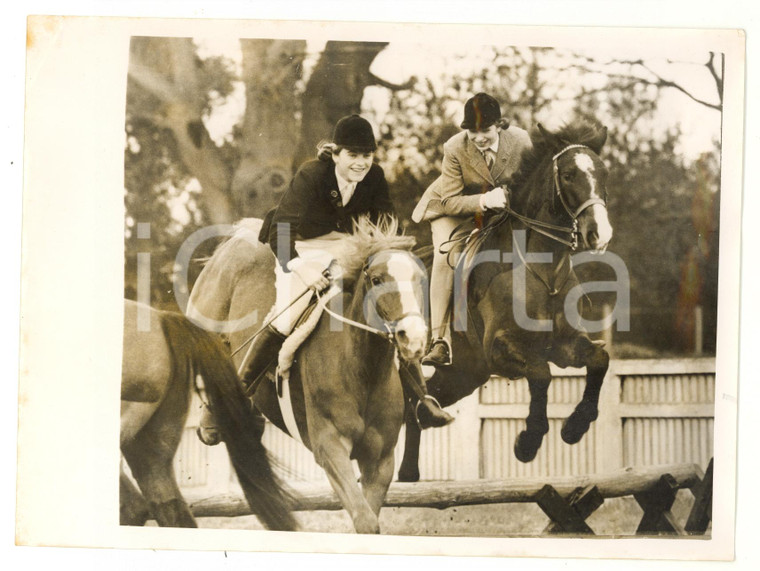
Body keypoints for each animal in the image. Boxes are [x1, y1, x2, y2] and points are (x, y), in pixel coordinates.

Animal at [188, 217, 430, 536]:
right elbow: (365, 521)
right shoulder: (330, 447)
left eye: (420, 279)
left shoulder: (380, 461)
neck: (362, 369)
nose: (413, 339)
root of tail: (239, 238)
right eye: (377, 280)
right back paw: (209, 422)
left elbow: (370, 519)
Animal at [400, 120, 616, 482]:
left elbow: (599, 358)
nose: (599, 235)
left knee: (418, 404)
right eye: (568, 175)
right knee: (404, 400)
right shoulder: (501, 348)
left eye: (603, 173)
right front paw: (527, 443)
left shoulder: (564, 344)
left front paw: (574, 428)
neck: (543, 269)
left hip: (465, 374)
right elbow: (541, 374)